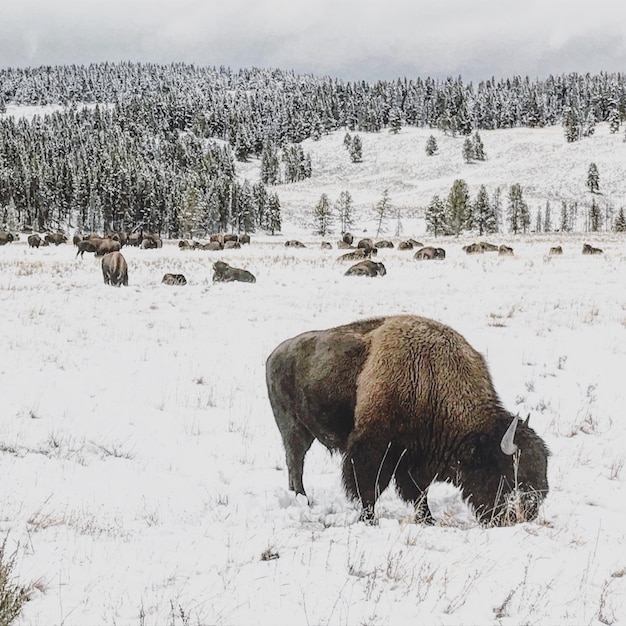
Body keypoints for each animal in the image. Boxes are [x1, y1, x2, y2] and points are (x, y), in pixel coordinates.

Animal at [266, 314, 548, 524]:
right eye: (510, 472)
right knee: (295, 462)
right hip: (293, 429)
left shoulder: (415, 459)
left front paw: (427, 519)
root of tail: (275, 354)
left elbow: (418, 492)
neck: (430, 377)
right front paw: (369, 519)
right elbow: (369, 487)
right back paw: (302, 499)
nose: (529, 512)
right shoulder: (374, 450)